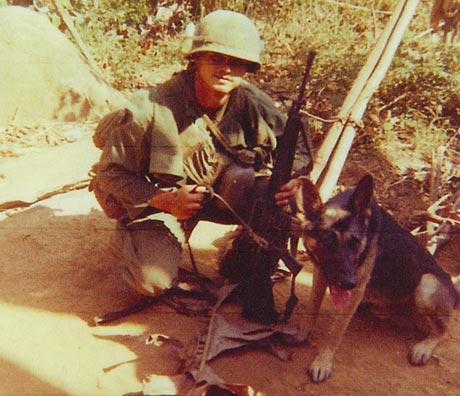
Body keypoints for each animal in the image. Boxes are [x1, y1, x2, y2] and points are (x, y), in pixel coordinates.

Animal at [294, 175, 460, 382]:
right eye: (328, 241)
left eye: (355, 243)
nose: (349, 282)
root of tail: (454, 289)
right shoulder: (321, 273)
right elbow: (313, 306)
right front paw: (303, 331)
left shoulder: (355, 291)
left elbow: (335, 332)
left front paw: (323, 362)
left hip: (426, 286)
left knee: (443, 330)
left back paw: (424, 347)